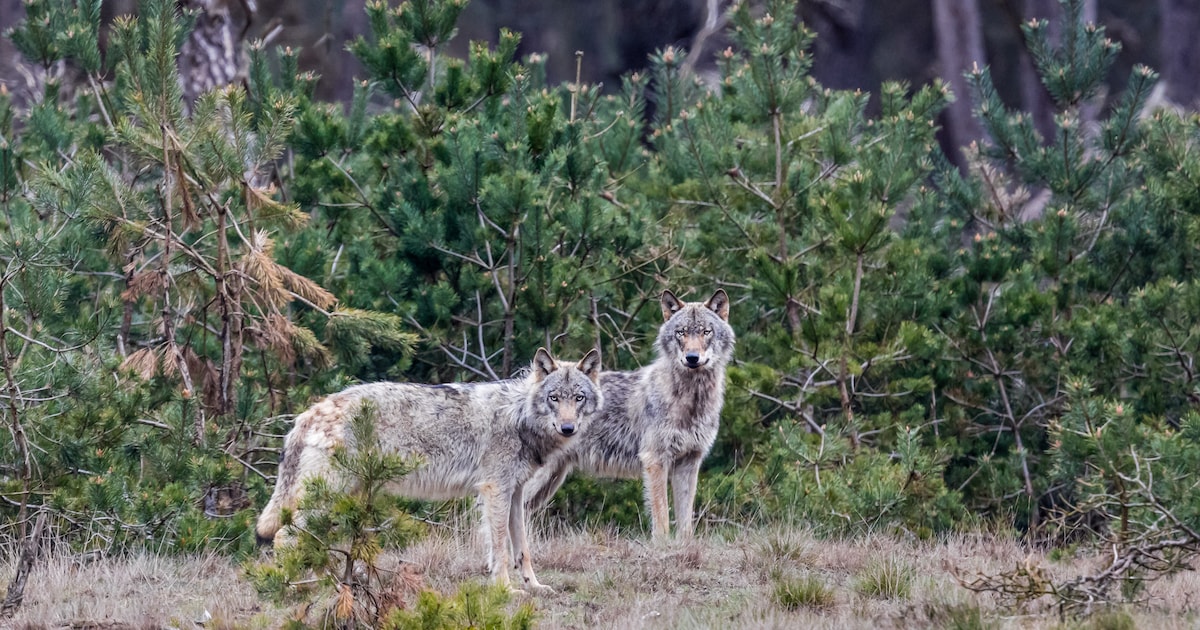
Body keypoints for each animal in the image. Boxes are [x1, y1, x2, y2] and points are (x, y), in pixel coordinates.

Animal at [255, 347, 602, 593]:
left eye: (578, 398)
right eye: (554, 398)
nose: (568, 428)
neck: (519, 416)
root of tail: (309, 412)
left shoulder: (515, 493)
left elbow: (522, 549)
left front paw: (535, 587)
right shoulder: (495, 491)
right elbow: (500, 549)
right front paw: (505, 589)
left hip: (341, 497)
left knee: (312, 540)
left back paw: (330, 582)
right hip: (328, 496)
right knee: (286, 536)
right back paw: (301, 584)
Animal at [524, 289, 734, 541]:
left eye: (706, 332)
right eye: (681, 332)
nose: (692, 357)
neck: (691, 399)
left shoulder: (689, 463)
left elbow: (686, 522)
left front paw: (685, 545)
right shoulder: (655, 460)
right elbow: (662, 517)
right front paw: (662, 546)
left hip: (550, 480)